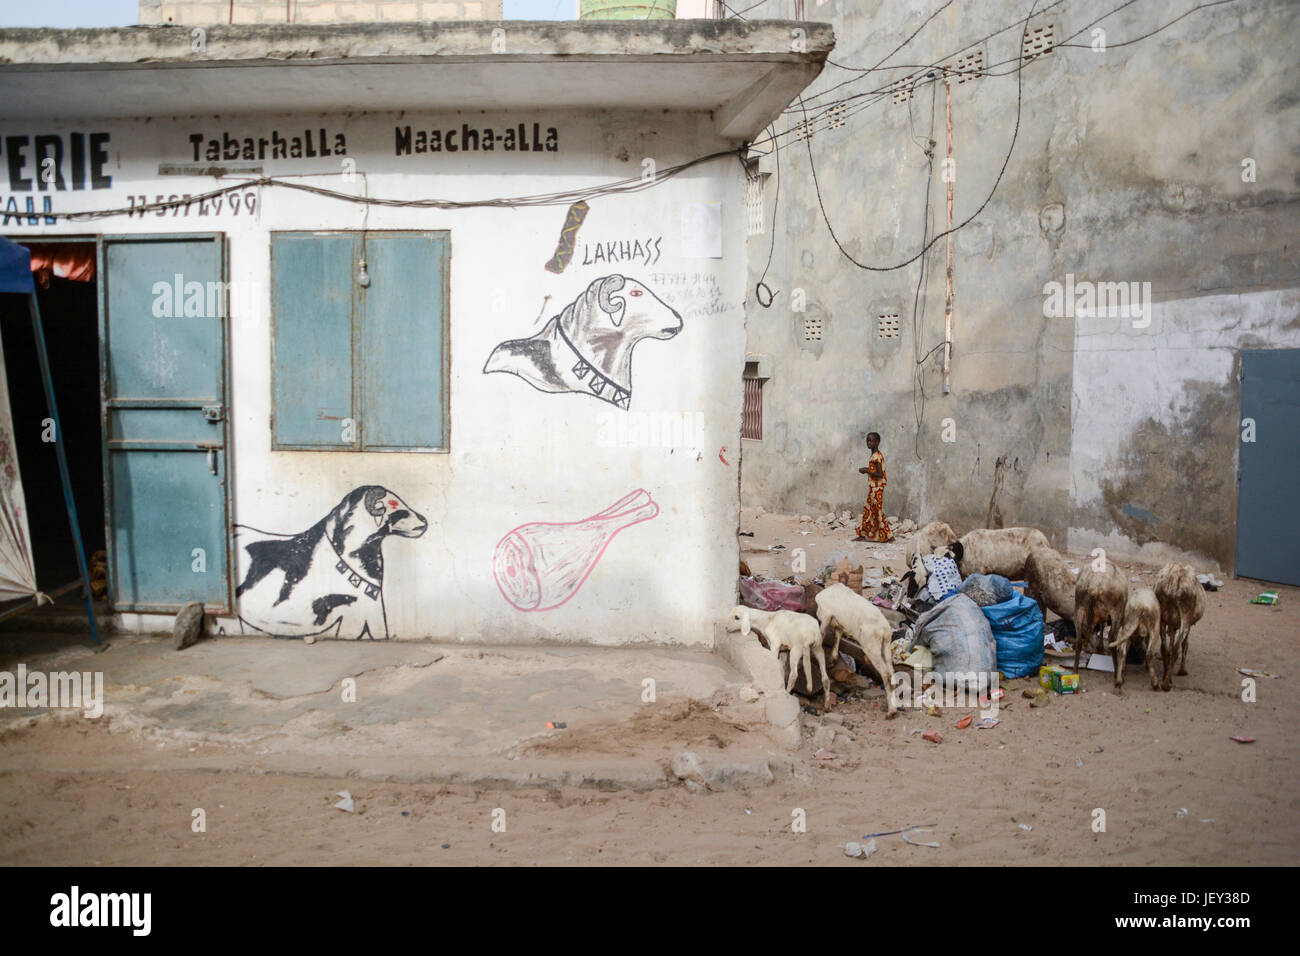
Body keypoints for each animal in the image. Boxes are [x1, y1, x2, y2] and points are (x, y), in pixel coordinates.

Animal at [811, 582, 894, 717]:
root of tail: (885, 629)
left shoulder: (827, 616)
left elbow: (822, 635)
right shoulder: (838, 625)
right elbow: (837, 637)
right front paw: (832, 661)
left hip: (872, 648)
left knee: (885, 673)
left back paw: (891, 712)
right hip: (885, 646)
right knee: (891, 672)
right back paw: (893, 707)